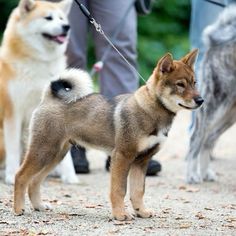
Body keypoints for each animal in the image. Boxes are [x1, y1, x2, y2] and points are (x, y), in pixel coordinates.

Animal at [0, 0, 78, 184]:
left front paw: (70, 176)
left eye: (62, 18)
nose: (66, 27)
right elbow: (13, 148)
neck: (39, 63)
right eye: (48, 18)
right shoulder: (13, 112)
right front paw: (11, 175)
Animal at [13, 50, 204, 221]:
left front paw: (141, 211)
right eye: (180, 84)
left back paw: (39, 206)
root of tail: (49, 98)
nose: (201, 100)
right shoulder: (122, 156)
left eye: (195, 83)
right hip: (43, 151)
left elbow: (138, 191)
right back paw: (18, 209)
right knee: (21, 176)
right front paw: (120, 215)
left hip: (55, 155)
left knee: (35, 181)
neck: (150, 110)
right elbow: (119, 190)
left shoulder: (142, 161)